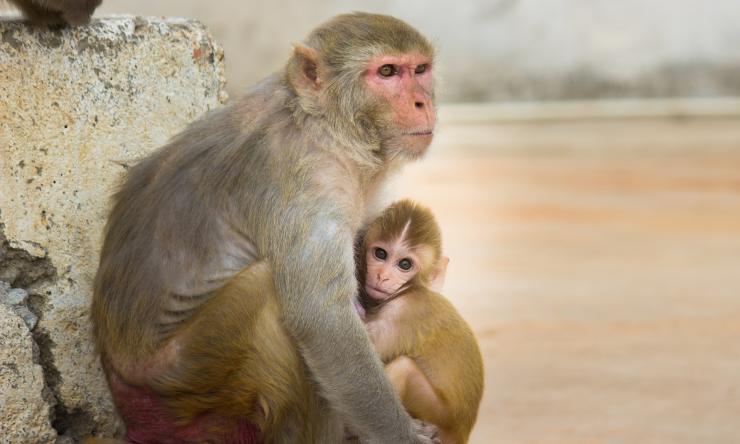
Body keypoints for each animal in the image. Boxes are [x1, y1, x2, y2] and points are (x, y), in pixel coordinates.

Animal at [90, 12, 440, 444]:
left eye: (420, 70)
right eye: (387, 72)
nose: (423, 101)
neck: (323, 123)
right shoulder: (309, 182)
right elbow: (323, 322)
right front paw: (404, 435)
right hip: (186, 379)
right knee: (267, 292)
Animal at [357, 199, 485, 444]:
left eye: (404, 264)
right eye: (380, 254)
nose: (382, 276)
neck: (410, 289)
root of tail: (462, 432)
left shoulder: (404, 312)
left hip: (439, 414)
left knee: (403, 367)